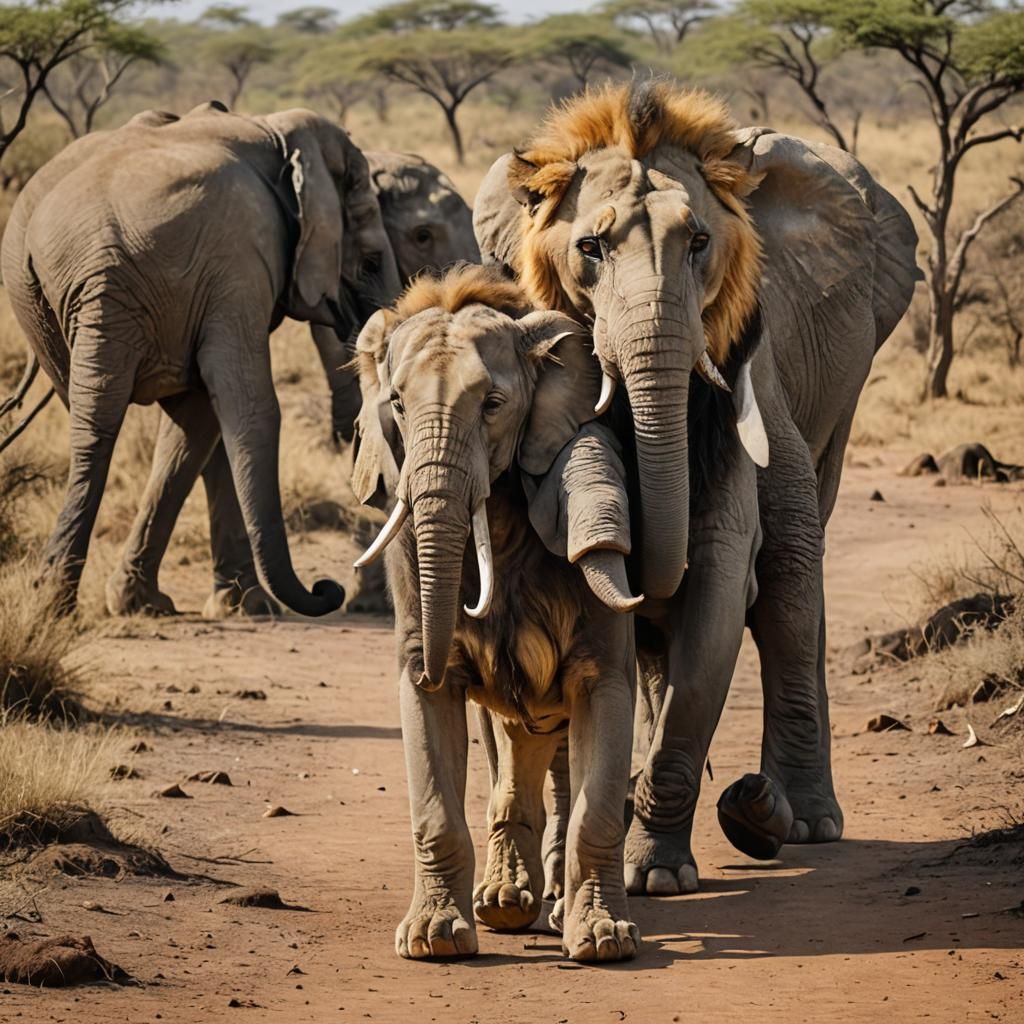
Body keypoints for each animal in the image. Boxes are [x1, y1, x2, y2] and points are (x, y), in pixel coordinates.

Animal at [0, 101, 401, 616]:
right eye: (370, 261)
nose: (327, 588)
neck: (276, 133)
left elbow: (204, 419)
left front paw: (166, 602)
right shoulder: (241, 258)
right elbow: (246, 407)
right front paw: (250, 606)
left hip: (45, 302)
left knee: (99, 423)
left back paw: (59, 599)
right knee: (123, 421)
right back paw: (58, 602)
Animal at [350, 263, 643, 962]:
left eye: (492, 404)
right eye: (396, 405)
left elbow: (604, 692)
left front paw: (604, 942)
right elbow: (429, 719)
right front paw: (432, 942)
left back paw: (550, 909)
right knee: (517, 737)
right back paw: (505, 906)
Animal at [473, 81, 920, 895]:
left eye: (700, 245)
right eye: (589, 249)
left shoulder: (739, 390)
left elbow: (717, 585)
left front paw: (657, 876)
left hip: (834, 403)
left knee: (792, 577)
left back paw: (791, 821)